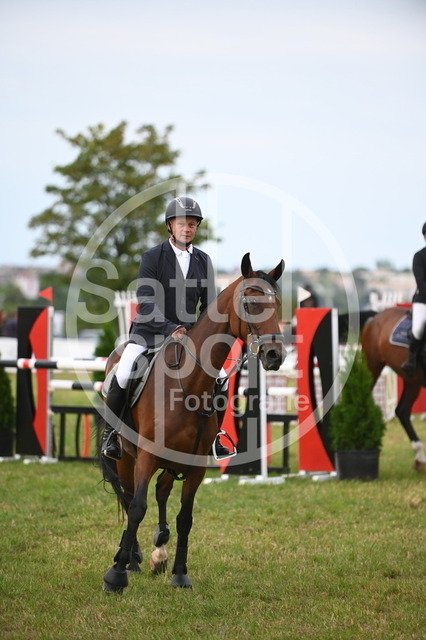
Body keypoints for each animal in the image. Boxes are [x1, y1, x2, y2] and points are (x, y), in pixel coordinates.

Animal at [100, 253, 287, 592]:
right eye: (250, 303)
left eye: (277, 303)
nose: (274, 356)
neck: (189, 383)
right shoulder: (146, 456)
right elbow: (137, 508)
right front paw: (115, 575)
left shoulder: (196, 465)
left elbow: (185, 518)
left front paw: (179, 574)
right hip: (126, 457)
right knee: (131, 494)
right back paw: (132, 558)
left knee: (161, 490)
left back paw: (159, 552)